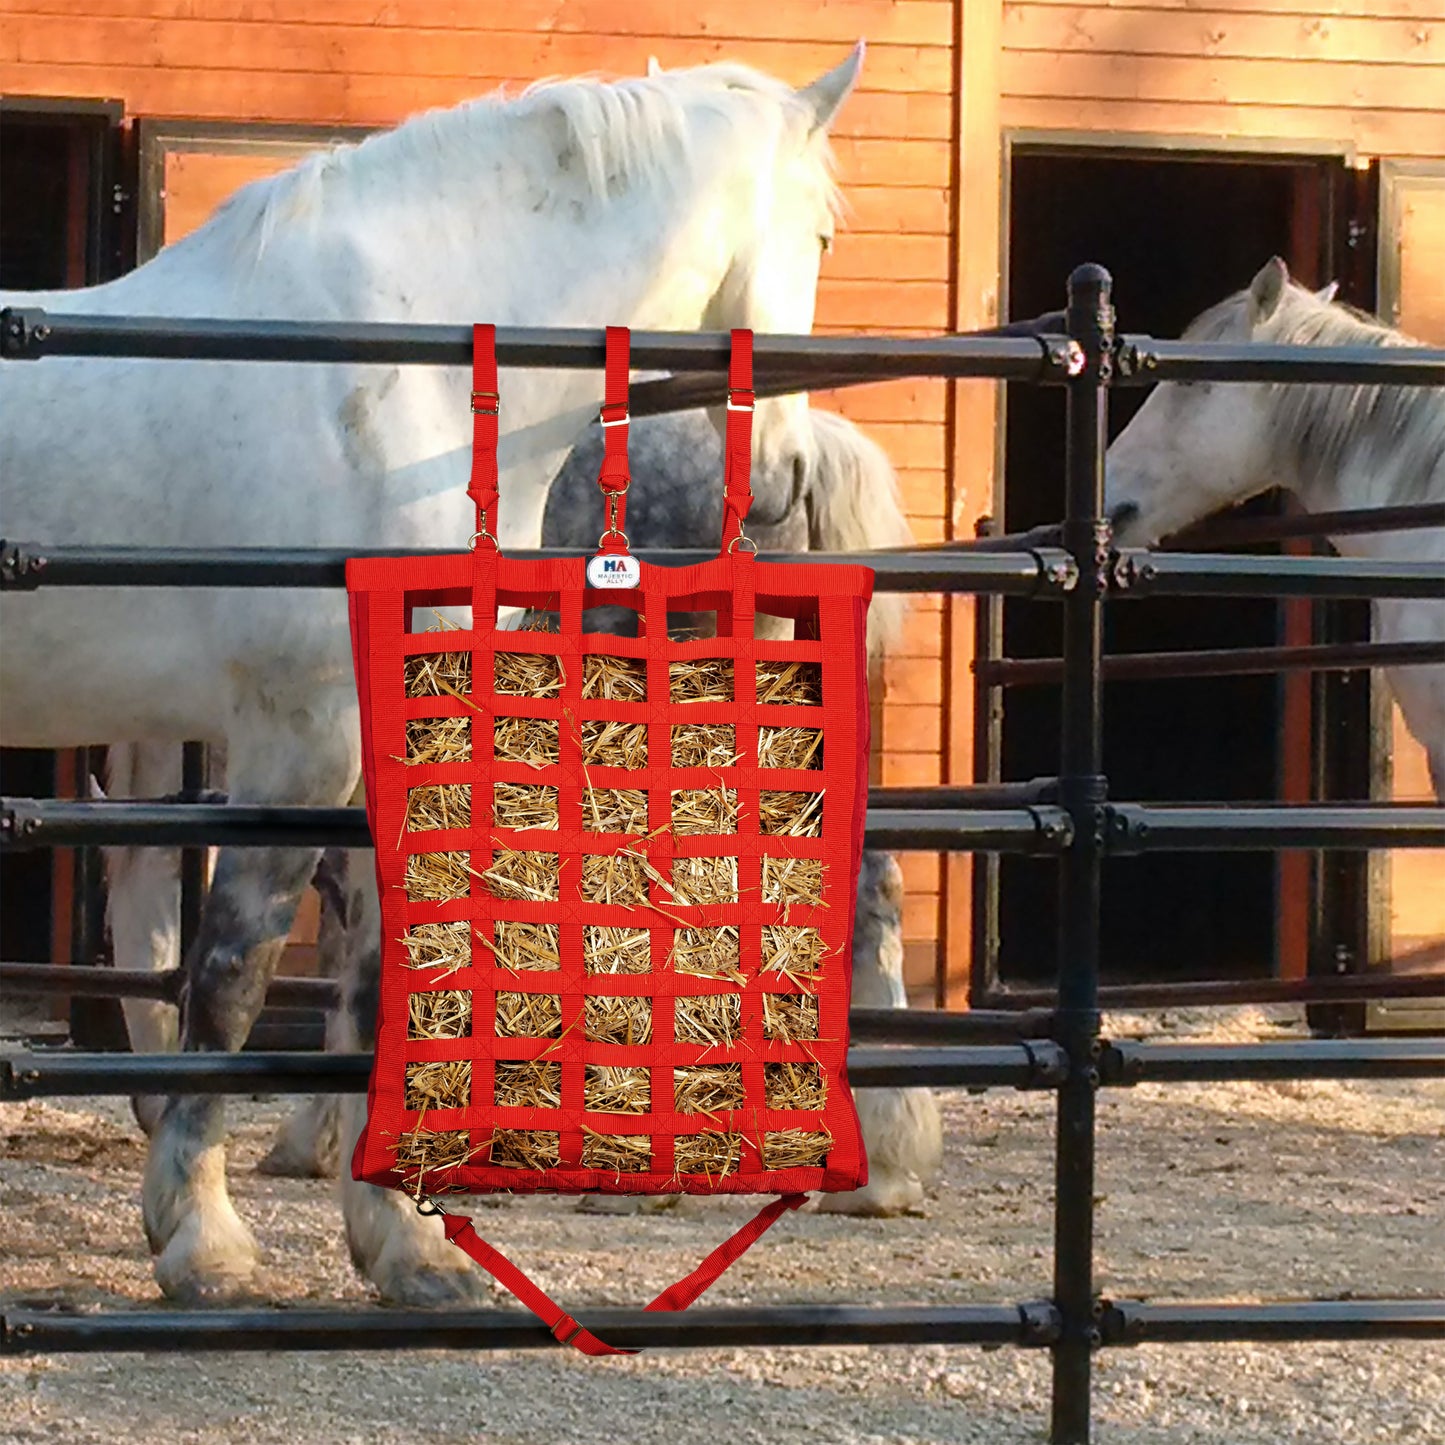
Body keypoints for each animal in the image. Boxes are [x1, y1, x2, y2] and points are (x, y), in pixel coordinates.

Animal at [0, 50, 863, 1306]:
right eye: (823, 229)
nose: (788, 483)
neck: (396, 376)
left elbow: (381, 973)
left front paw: (404, 1246)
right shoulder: (299, 733)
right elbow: (232, 970)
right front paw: (202, 1238)